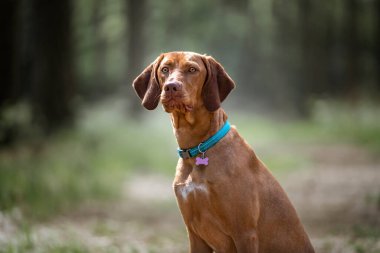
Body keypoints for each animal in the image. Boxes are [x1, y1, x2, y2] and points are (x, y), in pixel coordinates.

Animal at [132, 50, 314, 252]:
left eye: (192, 69)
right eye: (165, 69)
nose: (171, 87)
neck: (198, 148)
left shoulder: (244, 233)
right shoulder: (195, 235)